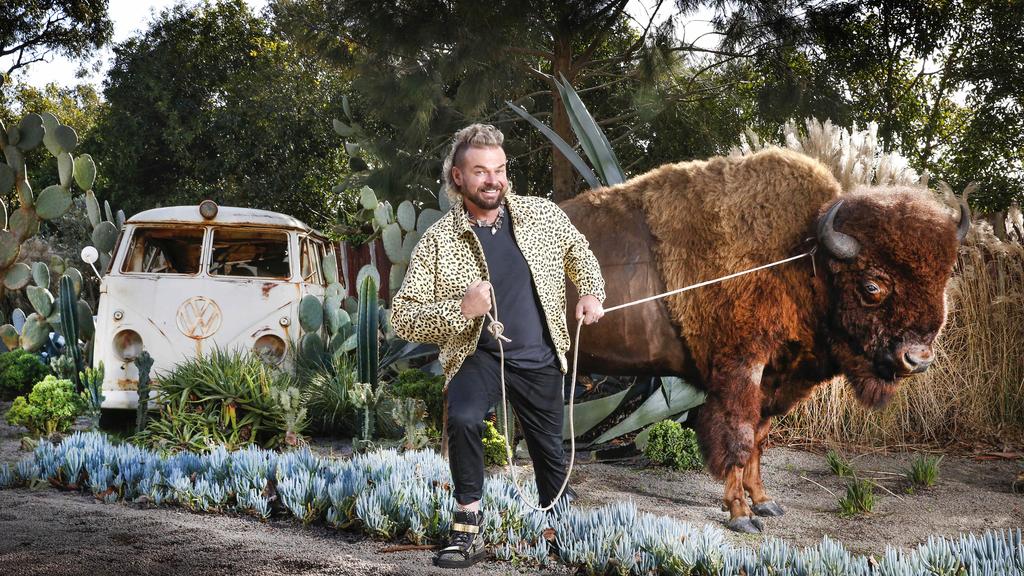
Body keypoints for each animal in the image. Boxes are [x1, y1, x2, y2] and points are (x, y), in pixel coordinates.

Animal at [561, 145, 966, 532]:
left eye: (945, 278)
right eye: (872, 286)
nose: (918, 359)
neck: (802, 257)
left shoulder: (774, 376)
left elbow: (759, 439)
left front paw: (765, 502)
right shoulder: (741, 370)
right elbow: (739, 438)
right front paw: (740, 513)